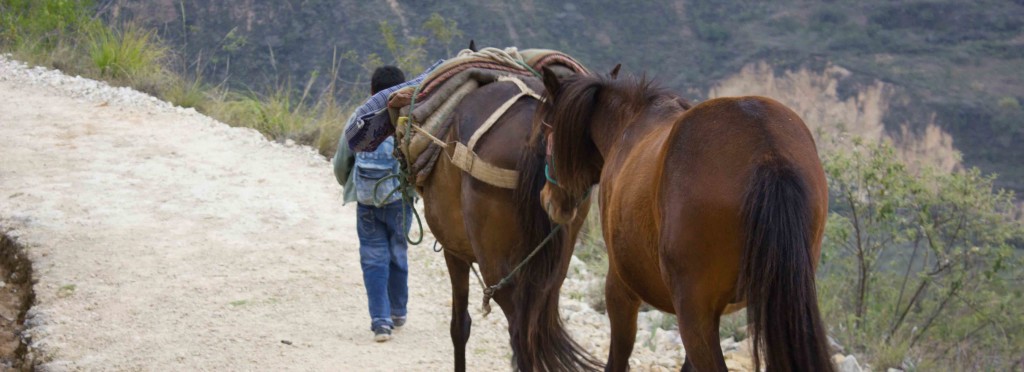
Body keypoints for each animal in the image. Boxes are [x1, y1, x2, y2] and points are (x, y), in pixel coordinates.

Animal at [413, 74, 598, 370]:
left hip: (496, 266)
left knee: (520, 334)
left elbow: (459, 326)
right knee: (534, 328)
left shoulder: (454, 252)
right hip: (557, 261)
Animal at [536, 67, 831, 372]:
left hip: (693, 315)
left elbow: (618, 356)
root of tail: (767, 152)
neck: (628, 126)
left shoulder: (620, 288)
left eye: (547, 130)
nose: (547, 199)